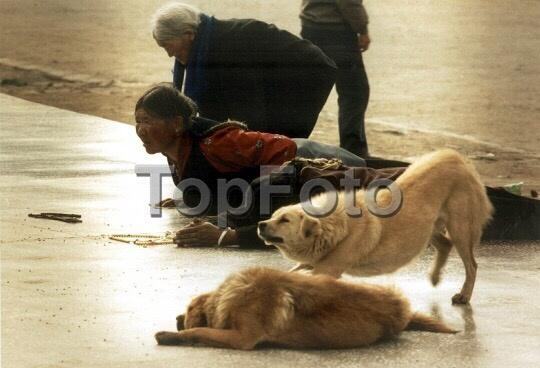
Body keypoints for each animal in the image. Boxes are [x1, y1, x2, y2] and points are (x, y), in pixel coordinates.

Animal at [155, 266, 456, 350]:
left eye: (187, 310)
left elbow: (199, 332)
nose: (177, 316)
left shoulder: (243, 338)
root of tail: (403, 310)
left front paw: (170, 335)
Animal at [258, 150, 494, 304]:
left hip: (460, 228)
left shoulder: (327, 270)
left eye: (284, 220)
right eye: (274, 216)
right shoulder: (313, 264)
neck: (335, 225)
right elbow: (291, 273)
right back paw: (435, 277)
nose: (260, 224)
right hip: (426, 228)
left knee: (472, 265)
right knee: (445, 244)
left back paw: (464, 295)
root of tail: (458, 157)